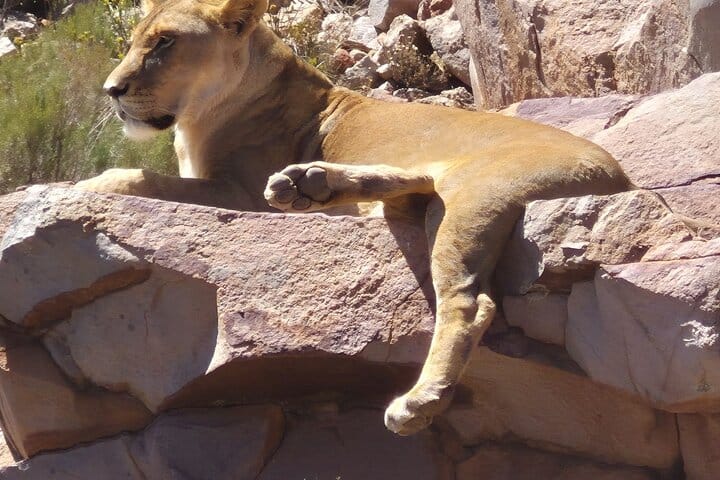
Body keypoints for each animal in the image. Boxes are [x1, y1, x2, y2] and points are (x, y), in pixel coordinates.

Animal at [76, 0, 632, 435]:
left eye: (164, 43)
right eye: (135, 41)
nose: (111, 90)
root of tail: (617, 172)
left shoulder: (239, 193)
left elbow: (146, 180)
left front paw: (87, 184)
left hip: (471, 192)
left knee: (469, 302)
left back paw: (418, 402)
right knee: (411, 187)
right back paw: (309, 185)